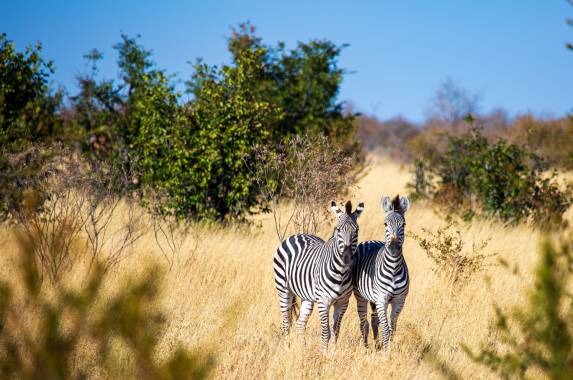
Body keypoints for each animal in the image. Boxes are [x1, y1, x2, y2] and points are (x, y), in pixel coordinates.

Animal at [274, 200, 364, 352]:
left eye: (356, 230)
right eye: (338, 230)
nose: (346, 258)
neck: (341, 273)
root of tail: (296, 235)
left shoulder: (343, 303)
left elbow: (336, 330)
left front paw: (333, 353)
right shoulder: (323, 301)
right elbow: (326, 332)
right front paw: (325, 354)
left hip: (307, 296)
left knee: (300, 323)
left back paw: (303, 350)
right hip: (283, 289)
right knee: (286, 322)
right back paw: (287, 349)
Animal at [350, 194, 408, 352]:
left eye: (404, 225)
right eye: (385, 224)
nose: (393, 249)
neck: (394, 268)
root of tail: (371, 241)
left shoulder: (399, 300)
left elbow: (392, 327)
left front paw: (388, 349)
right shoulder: (382, 299)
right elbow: (386, 328)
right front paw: (386, 353)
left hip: (373, 299)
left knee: (374, 320)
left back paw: (376, 345)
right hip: (361, 296)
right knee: (363, 322)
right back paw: (366, 347)